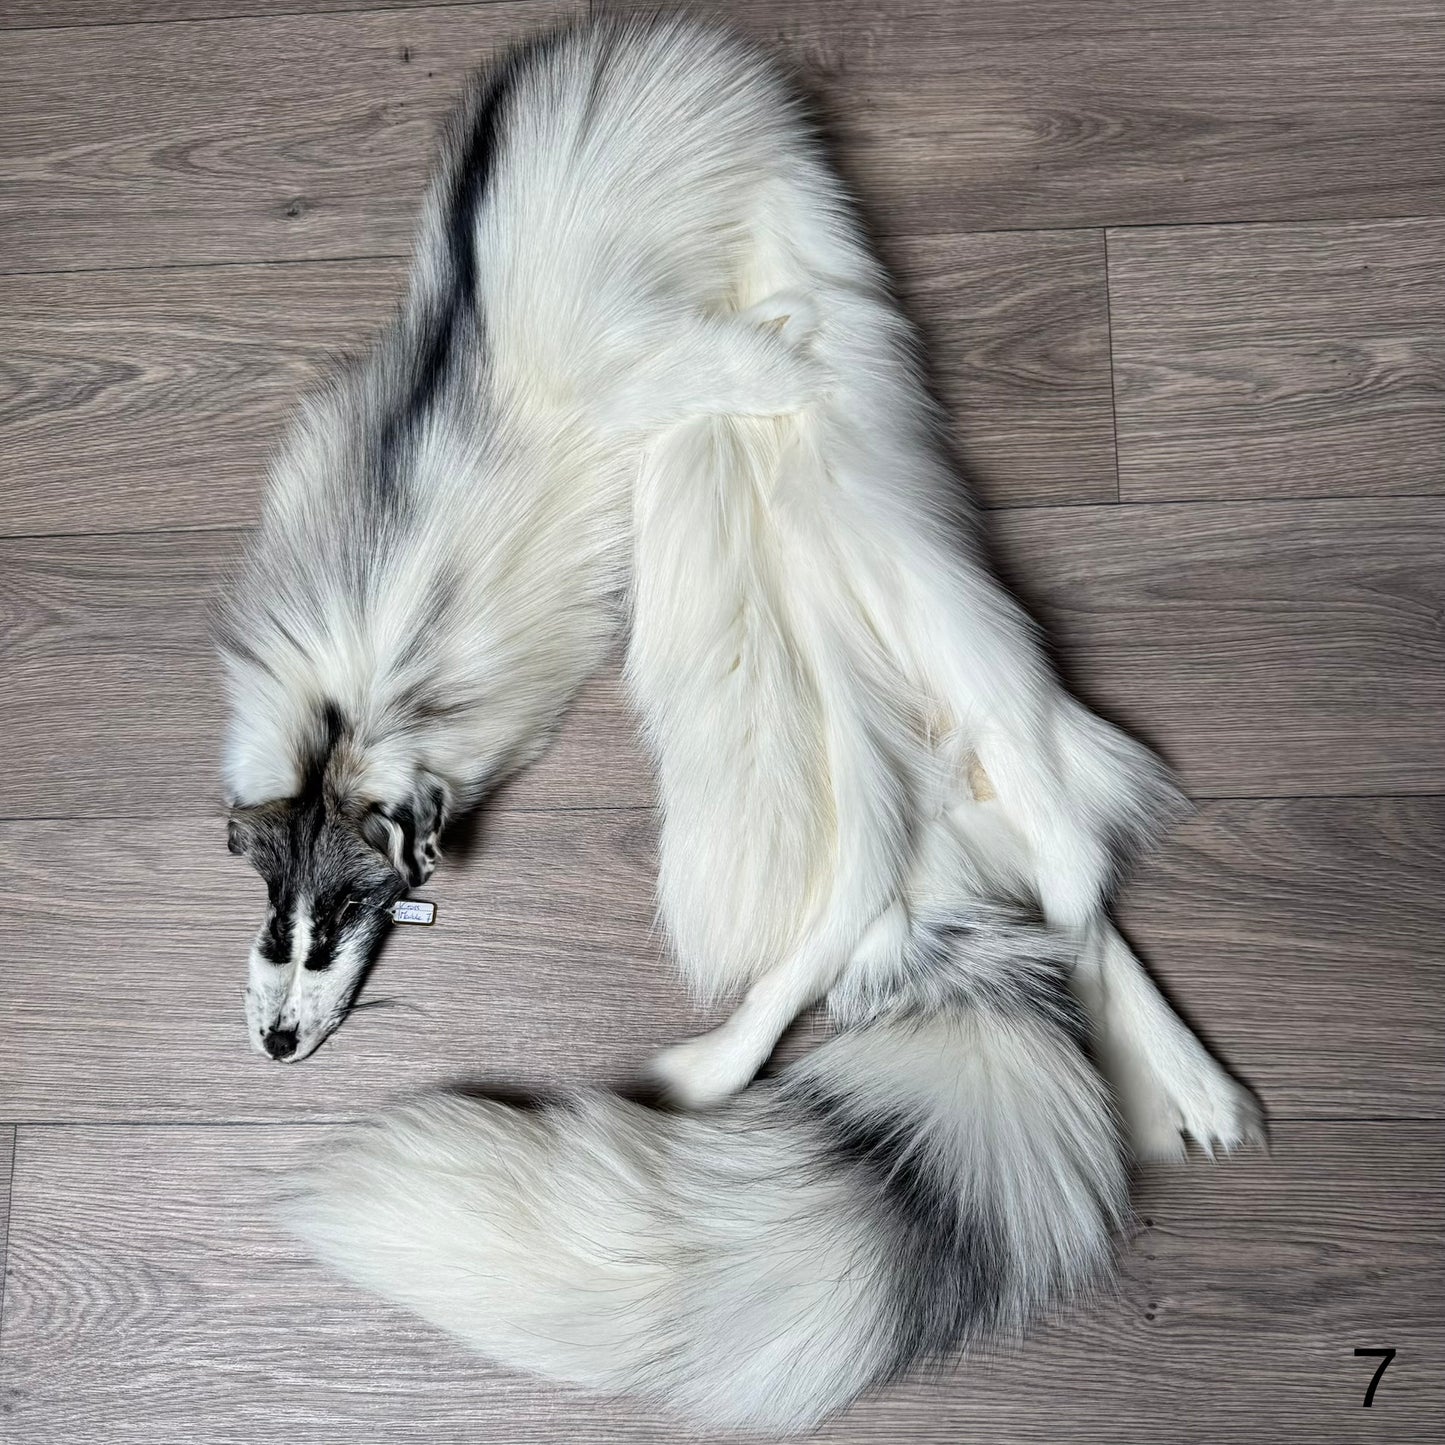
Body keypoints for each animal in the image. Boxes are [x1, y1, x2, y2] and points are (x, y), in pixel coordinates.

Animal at [217, 16, 1264, 1432]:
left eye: (345, 913)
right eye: (278, 915)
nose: (275, 1045)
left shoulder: (622, 349)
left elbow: (712, 351)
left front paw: (774, 350)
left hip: (940, 649)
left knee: (1070, 875)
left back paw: (1174, 1073)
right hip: (850, 717)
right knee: (942, 899)